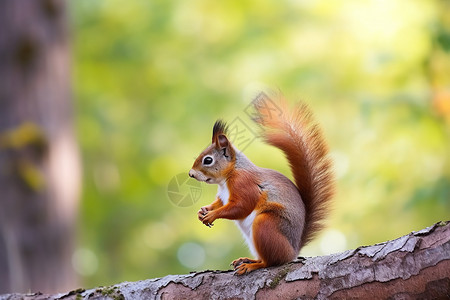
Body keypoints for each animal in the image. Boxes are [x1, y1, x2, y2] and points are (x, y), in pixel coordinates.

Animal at [187, 92, 334, 276]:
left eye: (208, 160)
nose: (191, 174)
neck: (228, 177)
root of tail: (293, 251)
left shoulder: (244, 184)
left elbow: (242, 206)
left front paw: (212, 214)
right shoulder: (223, 195)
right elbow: (220, 203)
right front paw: (203, 211)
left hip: (265, 224)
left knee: (272, 261)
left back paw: (253, 265)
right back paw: (248, 260)